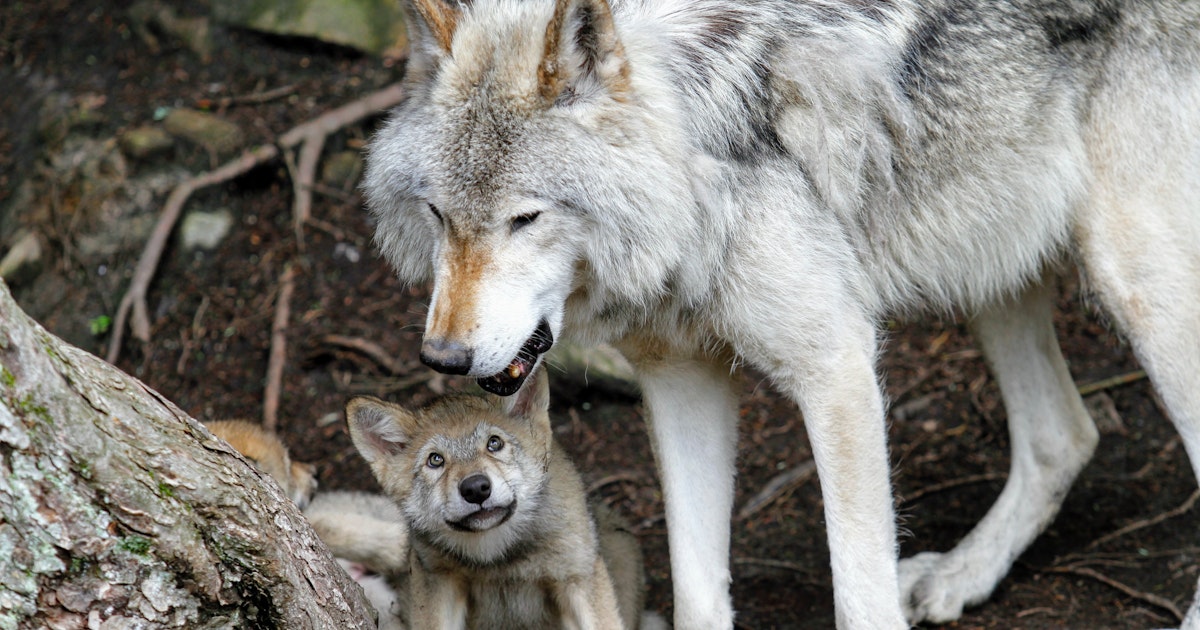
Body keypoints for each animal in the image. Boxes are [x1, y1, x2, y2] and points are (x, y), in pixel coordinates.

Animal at [345, 368, 659, 629]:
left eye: (494, 443)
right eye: (435, 460)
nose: (475, 488)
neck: (500, 559)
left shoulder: (576, 580)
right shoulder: (439, 582)